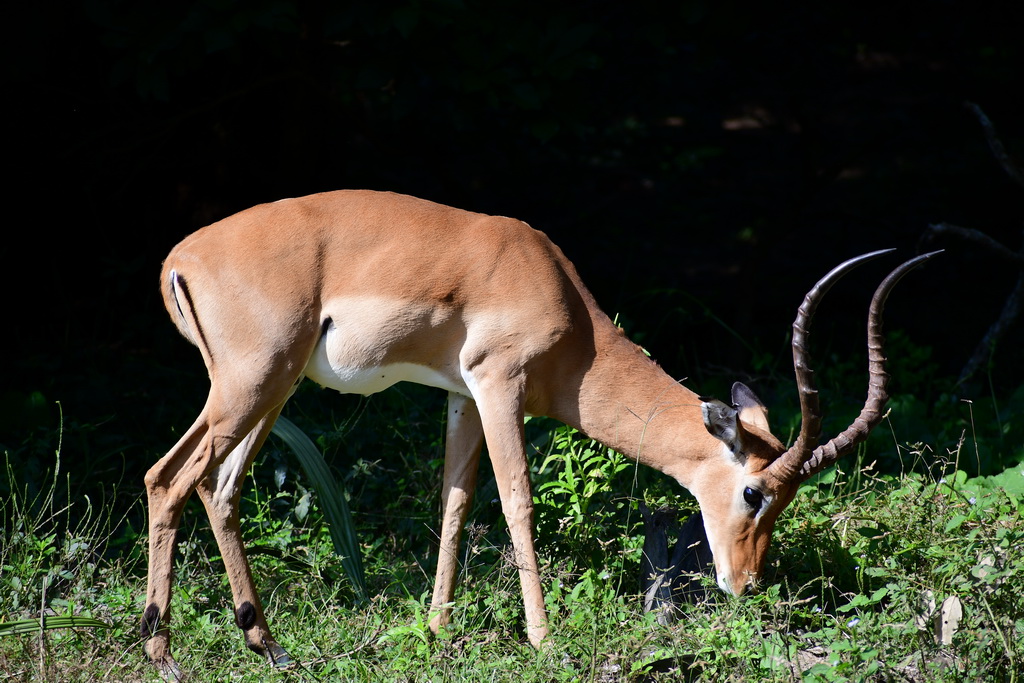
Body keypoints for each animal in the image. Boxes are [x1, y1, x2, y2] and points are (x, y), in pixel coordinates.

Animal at [142, 188, 937, 679]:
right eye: (753, 493)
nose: (743, 584)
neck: (561, 300)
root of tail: (179, 257)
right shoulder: (500, 385)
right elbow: (518, 502)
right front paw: (545, 639)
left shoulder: (460, 396)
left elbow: (455, 504)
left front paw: (436, 630)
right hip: (251, 384)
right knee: (168, 477)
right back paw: (165, 654)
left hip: (269, 393)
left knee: (219, 488)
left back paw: (266, 646)